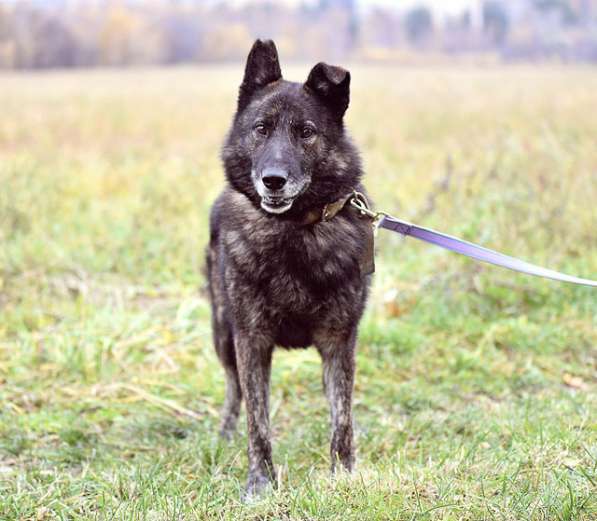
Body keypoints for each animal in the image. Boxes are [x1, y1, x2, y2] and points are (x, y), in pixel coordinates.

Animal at [206, 39, 372, 496]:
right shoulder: (251, 340)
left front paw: (343, 476)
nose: (274, 180)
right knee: (234, 390)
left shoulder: (339, 341)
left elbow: (342, 420)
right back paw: (224, 434)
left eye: (306, 132)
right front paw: (260, 483)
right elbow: (258, 423)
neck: (293, 230)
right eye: (261, 128)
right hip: (222, 333)